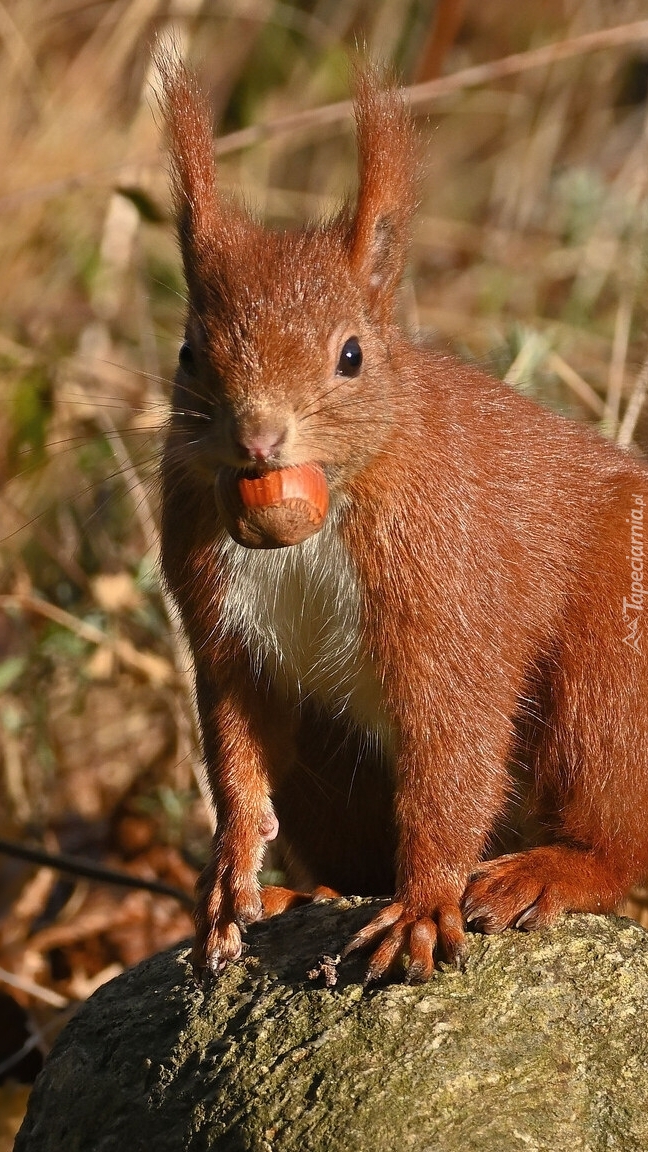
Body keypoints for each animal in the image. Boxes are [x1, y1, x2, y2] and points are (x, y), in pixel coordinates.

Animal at [156, 58, 645, 986]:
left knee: (618, 828)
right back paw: (298, 893)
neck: (316, 519)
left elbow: (454, 751)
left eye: (352, 355)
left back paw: (545, 872)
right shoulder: (224, 626)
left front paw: (423, 907)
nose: (259, 438)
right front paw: (230, 874)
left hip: (615, 660)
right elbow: (235, 750)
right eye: (188, 353)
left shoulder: (446, 587)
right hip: (333, 769)